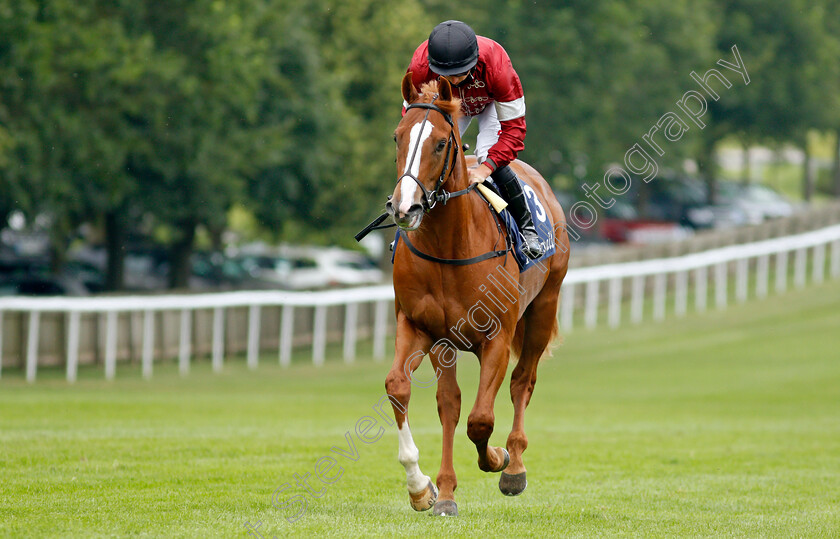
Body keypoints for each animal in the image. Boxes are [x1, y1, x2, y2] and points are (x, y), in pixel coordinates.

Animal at [382, 74, 568, 516]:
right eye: (398, 137)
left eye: (440, 143)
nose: (404, 208)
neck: (449, 246)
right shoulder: (425, 329)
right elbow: (416, 393)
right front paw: (427, 489)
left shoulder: (497, 336)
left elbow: (481, 419)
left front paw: (497, 458)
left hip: (543, 307)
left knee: (523, 381)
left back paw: (513, 464)